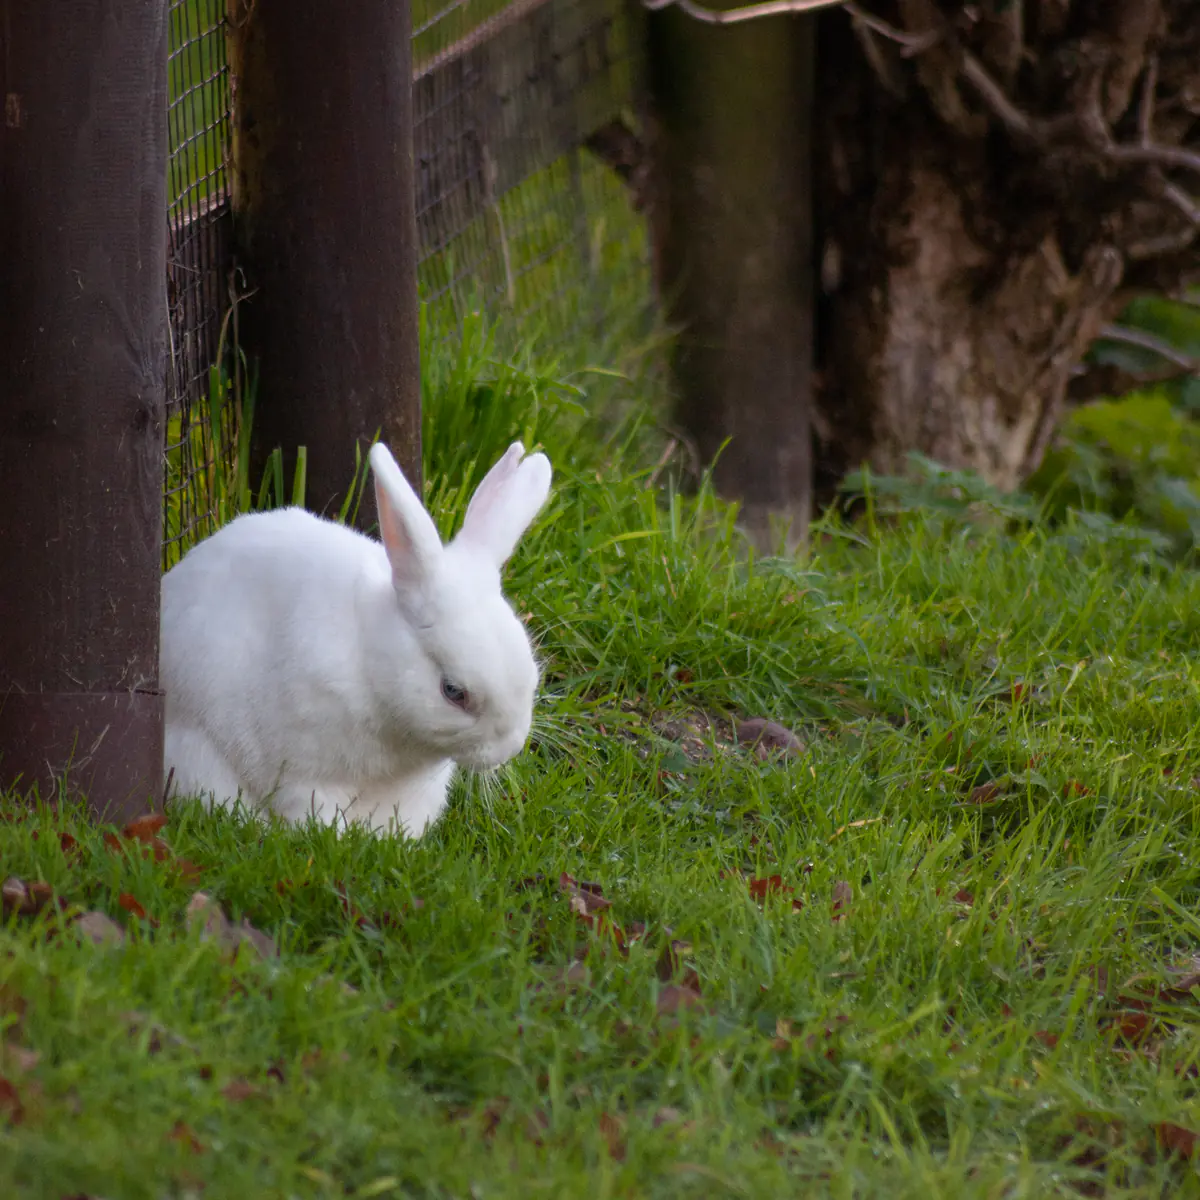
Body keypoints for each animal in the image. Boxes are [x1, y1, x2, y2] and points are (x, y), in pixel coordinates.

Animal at [160, 440, 552, 836]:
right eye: (454, 692)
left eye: (533, 676)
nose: (510, 747)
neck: (371, 664)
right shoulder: (305, 772)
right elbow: (312, 807)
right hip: (196, 754)